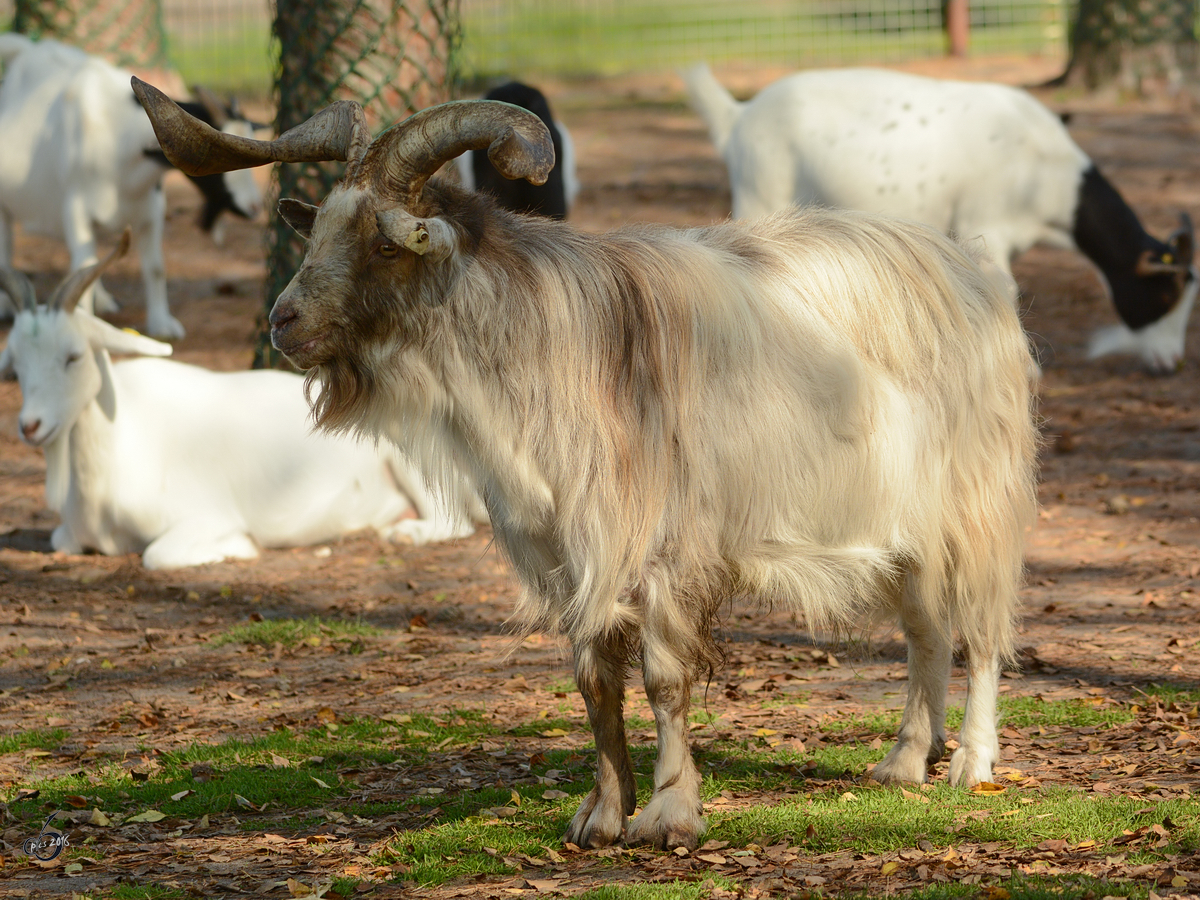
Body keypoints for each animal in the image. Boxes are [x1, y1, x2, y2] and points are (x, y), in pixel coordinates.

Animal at [0, 34, 265, 338]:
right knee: (7, 250)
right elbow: (84, 266)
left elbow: (155, 267)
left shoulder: (151, 207)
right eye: (220, 157)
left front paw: (162, 324)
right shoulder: (76, 211)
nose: (255, 207)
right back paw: (6, 307)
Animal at [2, 232, 484, 571]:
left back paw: (405, 534)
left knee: (453, 523)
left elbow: (156, 555)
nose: (30, 426)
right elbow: (60, 541)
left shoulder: (203, 516)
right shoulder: (67, 535)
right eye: (16, 363)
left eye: (73, 356)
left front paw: (236, 548)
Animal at [686, 63, 1200, 374]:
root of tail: (739, 116)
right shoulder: (986, 223)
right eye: (1164, 293)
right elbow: (1004, 291)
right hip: (760, 190)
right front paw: (1023, 369)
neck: (1046, 171)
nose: (1173, 362)